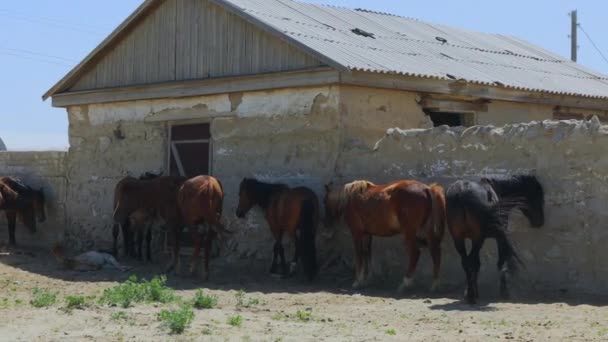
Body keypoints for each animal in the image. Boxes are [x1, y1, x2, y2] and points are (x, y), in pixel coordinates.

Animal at [446, 175, 548, 304]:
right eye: (538, 198)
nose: (540, 222)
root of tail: (461, 191)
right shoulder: (499, 237)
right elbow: (501, 261)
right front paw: (504, 292)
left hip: (458, 239)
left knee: (466, 262)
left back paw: (470, 294)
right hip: (478, 239)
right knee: (471, 261)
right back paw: (471, 296)